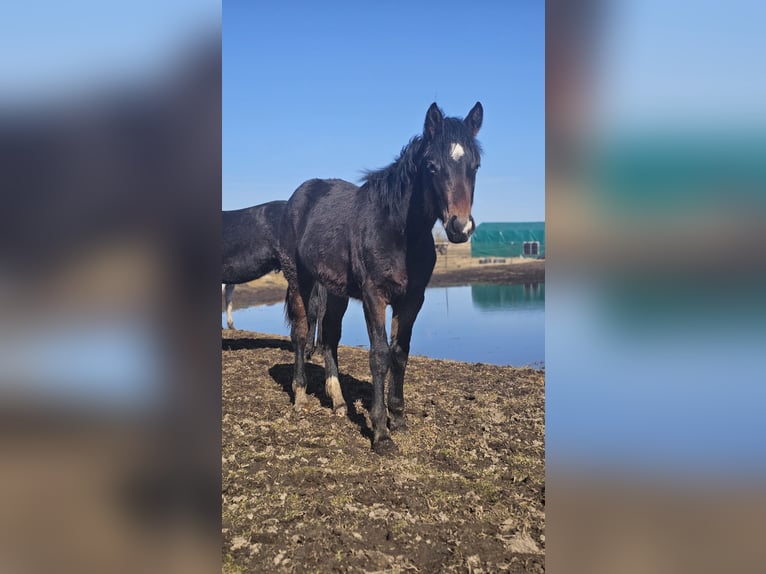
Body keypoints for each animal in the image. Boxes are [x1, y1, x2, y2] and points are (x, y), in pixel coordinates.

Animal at [279, 102, 483, 454]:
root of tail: (300, 195)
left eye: (476, 166)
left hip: (336, 292)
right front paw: (380, 433)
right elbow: (379, 355)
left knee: (329, 337)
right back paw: (301, 397)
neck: (398, 230)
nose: (460, 227)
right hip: (300, 281)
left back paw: (338, 402)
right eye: (431, 166)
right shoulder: (375, 296)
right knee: (302, 333)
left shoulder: (412, 299)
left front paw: (398, 419)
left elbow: (400, 354)